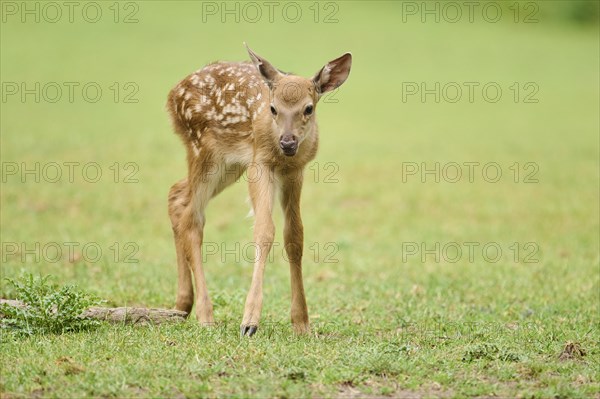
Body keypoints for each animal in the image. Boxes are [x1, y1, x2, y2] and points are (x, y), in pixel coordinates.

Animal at [166, 44, 352, 338]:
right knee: (191, 218)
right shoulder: (259, 163)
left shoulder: (295, 171)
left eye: (308, 108)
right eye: (273, 108)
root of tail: (172, 94)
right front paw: (249, 322)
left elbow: (295, 236)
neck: (280, 155)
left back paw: (183, 304)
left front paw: (301, 322)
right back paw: (205, 315)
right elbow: (264, 231)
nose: (288, 142)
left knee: (176, 195)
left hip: (228, 166)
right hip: (204, 151)